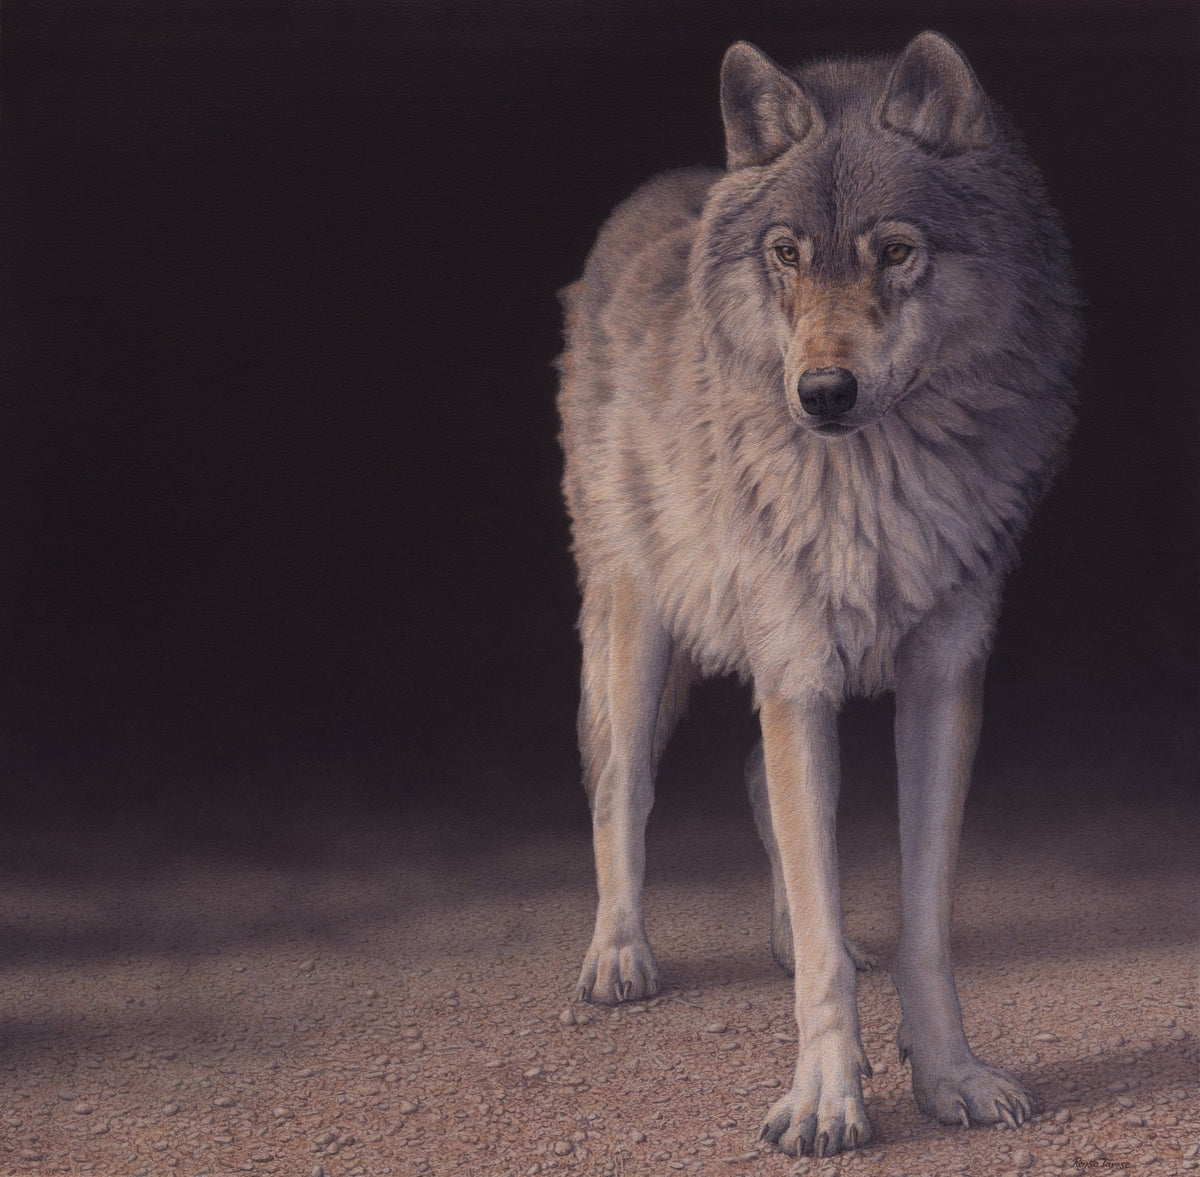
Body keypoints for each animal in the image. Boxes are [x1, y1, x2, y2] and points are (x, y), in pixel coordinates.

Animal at [556, 31, 1080, 1157]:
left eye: (897, 252)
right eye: (788, 255)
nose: (824, 393)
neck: (876, 479)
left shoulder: (942, 679)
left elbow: (918, 921)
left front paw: (951, 1076)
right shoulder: (797, 672)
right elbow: (830, 921)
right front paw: (829, 1099)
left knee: (758, 781)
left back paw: (785, 937)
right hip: (636, 630)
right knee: (621, 788)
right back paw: (619, 956)